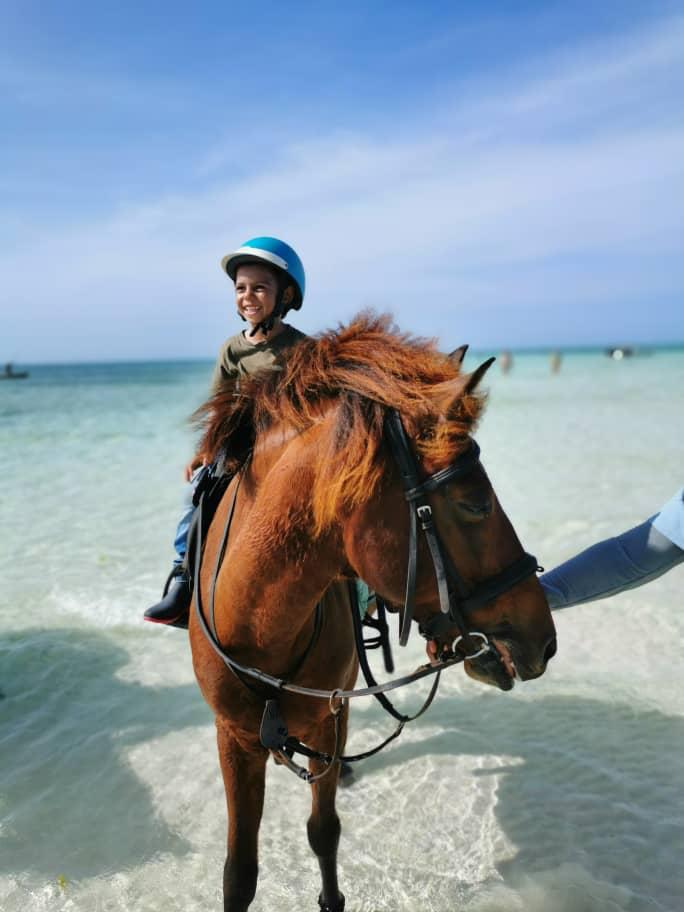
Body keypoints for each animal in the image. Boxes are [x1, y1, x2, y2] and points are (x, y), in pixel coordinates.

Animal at [188, 313, 557, 912]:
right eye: (475, 503)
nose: (543, 638)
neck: (261, 625)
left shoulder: (329, 715)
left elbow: (324, 831)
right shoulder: (234, 737)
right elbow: (239, 872)